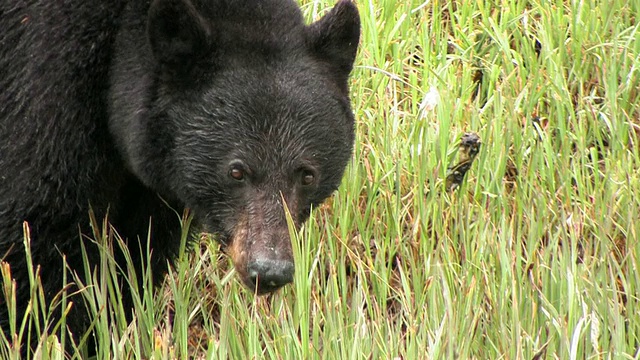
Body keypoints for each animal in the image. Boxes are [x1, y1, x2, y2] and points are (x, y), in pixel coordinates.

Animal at [0, 0, 360, 348]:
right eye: (236, 171)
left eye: (307, 175)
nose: (269, 269)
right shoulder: (46, 90)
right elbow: (35, 240)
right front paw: (45, 337)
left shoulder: (154, 187)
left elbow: (136, 252)